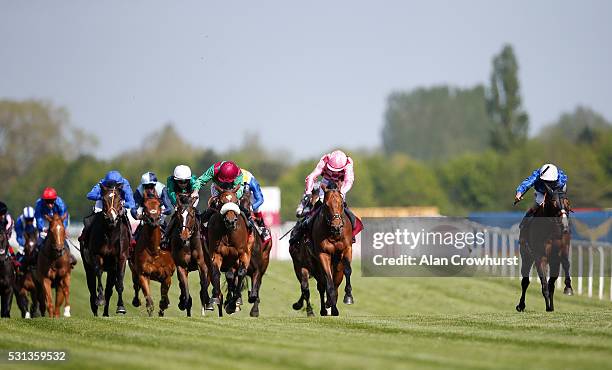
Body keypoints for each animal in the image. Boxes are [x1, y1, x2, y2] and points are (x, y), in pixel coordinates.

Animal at [81, 184, 130, 316]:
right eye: (103, 200)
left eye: (120, 199)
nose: (111, 218)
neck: (110, 234)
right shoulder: (97, 255)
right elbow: (98, 274)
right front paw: (100, 300)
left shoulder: (121, 257)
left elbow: (119, 282)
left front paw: (121, 307)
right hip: (87, 265)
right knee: (91, 288)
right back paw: (95, 310)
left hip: (111, 269)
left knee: (109, 290)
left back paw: (106, 313)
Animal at [207, 185, 252, 316]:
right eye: (222, 202)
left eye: (236, 201)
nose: (231, 221)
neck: (228, 233)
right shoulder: (216, 254)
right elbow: (216, 272)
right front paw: (216, 298)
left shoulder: (243, 253)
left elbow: (241, 273)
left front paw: (233, 303)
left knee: (233, 276)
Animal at [310, 182, 354, 316]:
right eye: (326, 204)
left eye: (341, 204)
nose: (336, 227)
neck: (333, 235)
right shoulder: (323, 254)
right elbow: (328, 279)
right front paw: (329, 301)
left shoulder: (347, 248)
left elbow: (347, 270)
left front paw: (348, 296)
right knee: (323, 283)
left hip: (338, 264)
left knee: (337, 280)